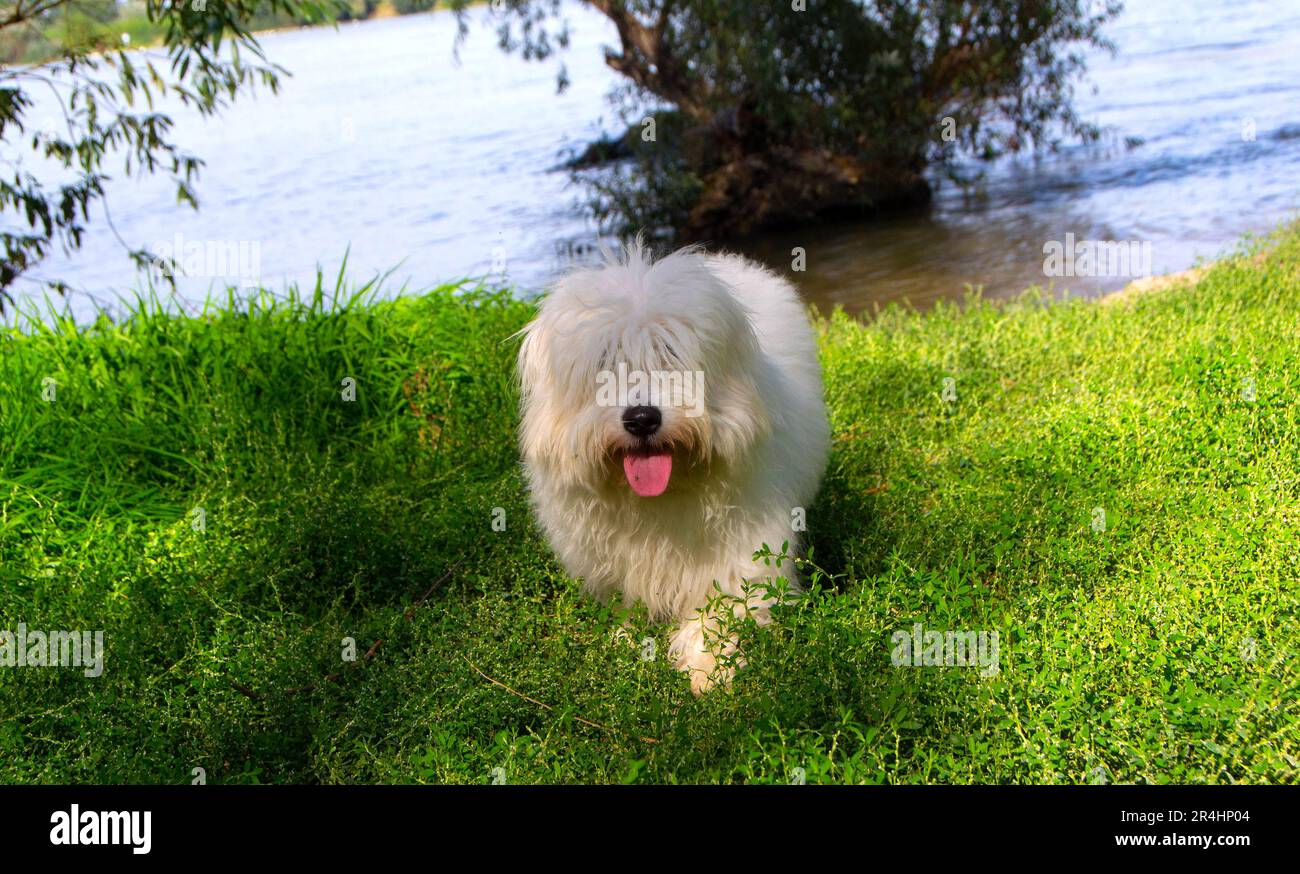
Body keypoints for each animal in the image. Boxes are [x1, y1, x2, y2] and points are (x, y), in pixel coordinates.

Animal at [514, 241, 826, 691]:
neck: (661, 495)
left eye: (671, 355)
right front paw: (627, 642)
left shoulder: (748, 547)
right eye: (605, 361)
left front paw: (709, 668)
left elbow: (726, 604)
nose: (642, 418)